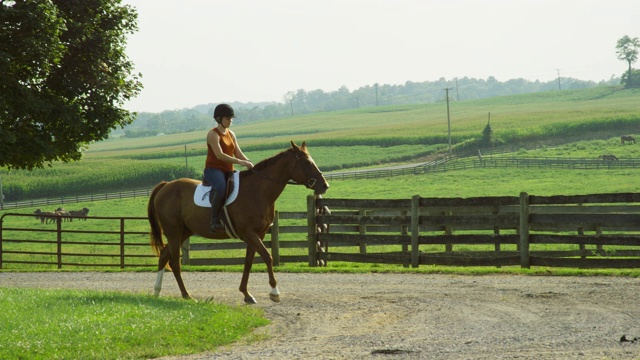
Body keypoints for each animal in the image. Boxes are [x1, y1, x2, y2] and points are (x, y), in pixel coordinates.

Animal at [149, 141, 330, 304]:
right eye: (307, 162)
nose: (324, 185)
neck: (258, 190)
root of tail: (166, 185)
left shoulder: (258, 235)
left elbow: (249, 262)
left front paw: (246, 294)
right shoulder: (248, 233)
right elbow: (267, 257)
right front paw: (274, 292)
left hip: (184, 231)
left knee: (164, 255)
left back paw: (157, 291)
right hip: (174, 231)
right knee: (174, 261)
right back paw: (186, 295)